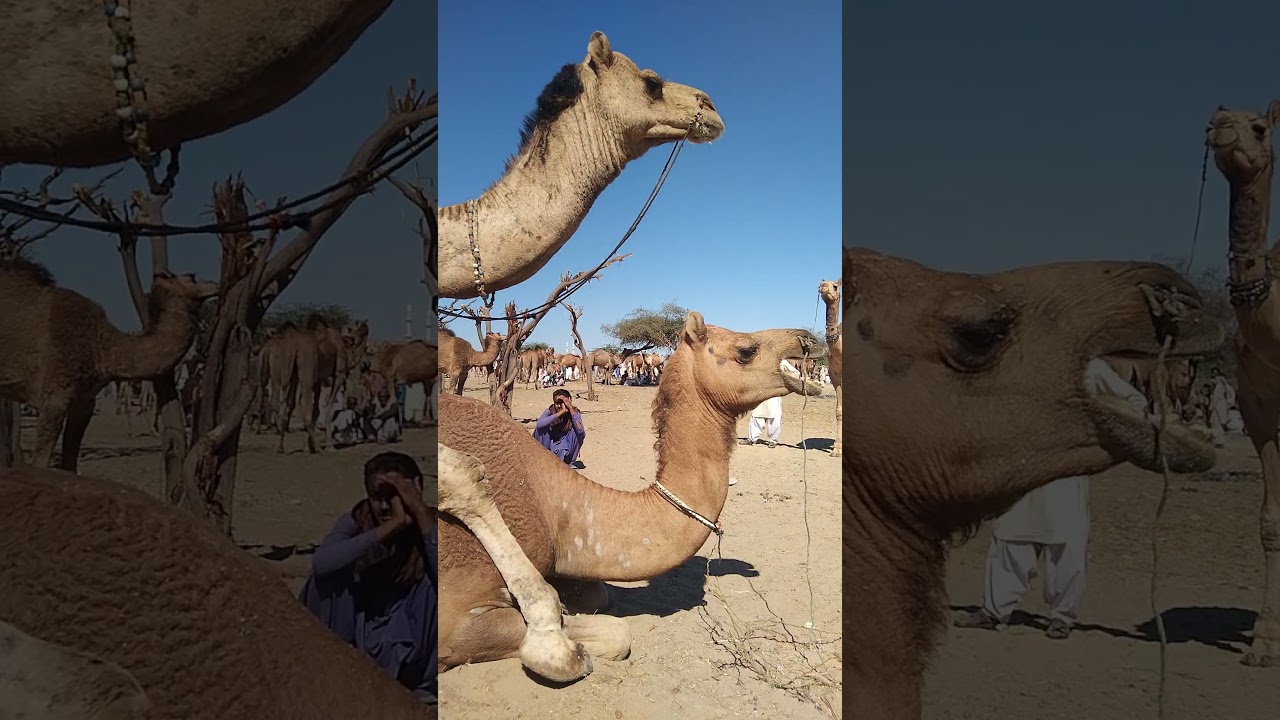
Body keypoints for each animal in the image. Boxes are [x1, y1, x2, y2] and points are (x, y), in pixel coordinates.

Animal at [0, 260, 216, 472]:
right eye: (191, 276)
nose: (214, 284)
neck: (102, 346)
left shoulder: (84, 403)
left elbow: (70, 465)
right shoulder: (54, 399)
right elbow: (41, 464)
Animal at [438, 311, 825, 681]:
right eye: (746, 350)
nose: (809, 339)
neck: (551, 506)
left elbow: (602, 603)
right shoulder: (457, 621)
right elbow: (609, 632)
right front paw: (554, 652)